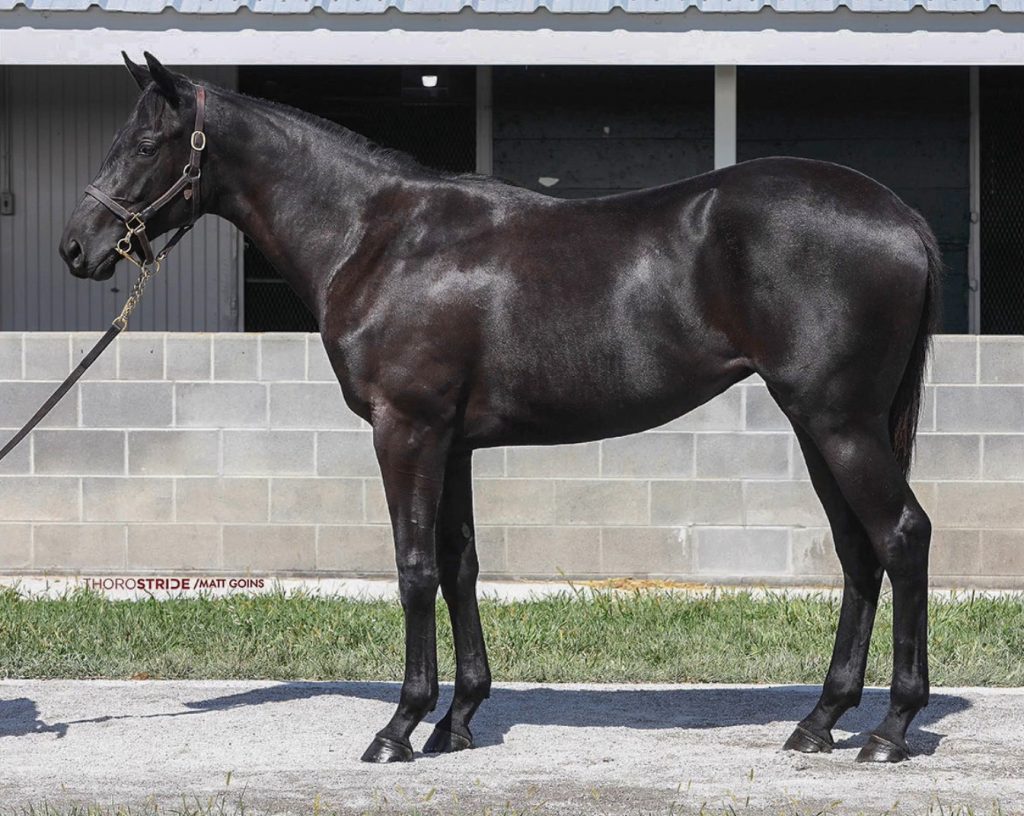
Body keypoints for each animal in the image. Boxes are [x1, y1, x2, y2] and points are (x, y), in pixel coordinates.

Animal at [54, 55, 937, 765]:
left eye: (144, 145)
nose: (77, 245)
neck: (378, 237)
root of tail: (904, 217)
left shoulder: (407, 430)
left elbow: (413, 570)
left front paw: (399, 729)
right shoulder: (453, 443)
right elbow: (459, 567)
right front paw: (458, 720)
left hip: (837, 421)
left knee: (900, 536)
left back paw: (890, 730)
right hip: (820, 425)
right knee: (858, 552)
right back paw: (819, 722)